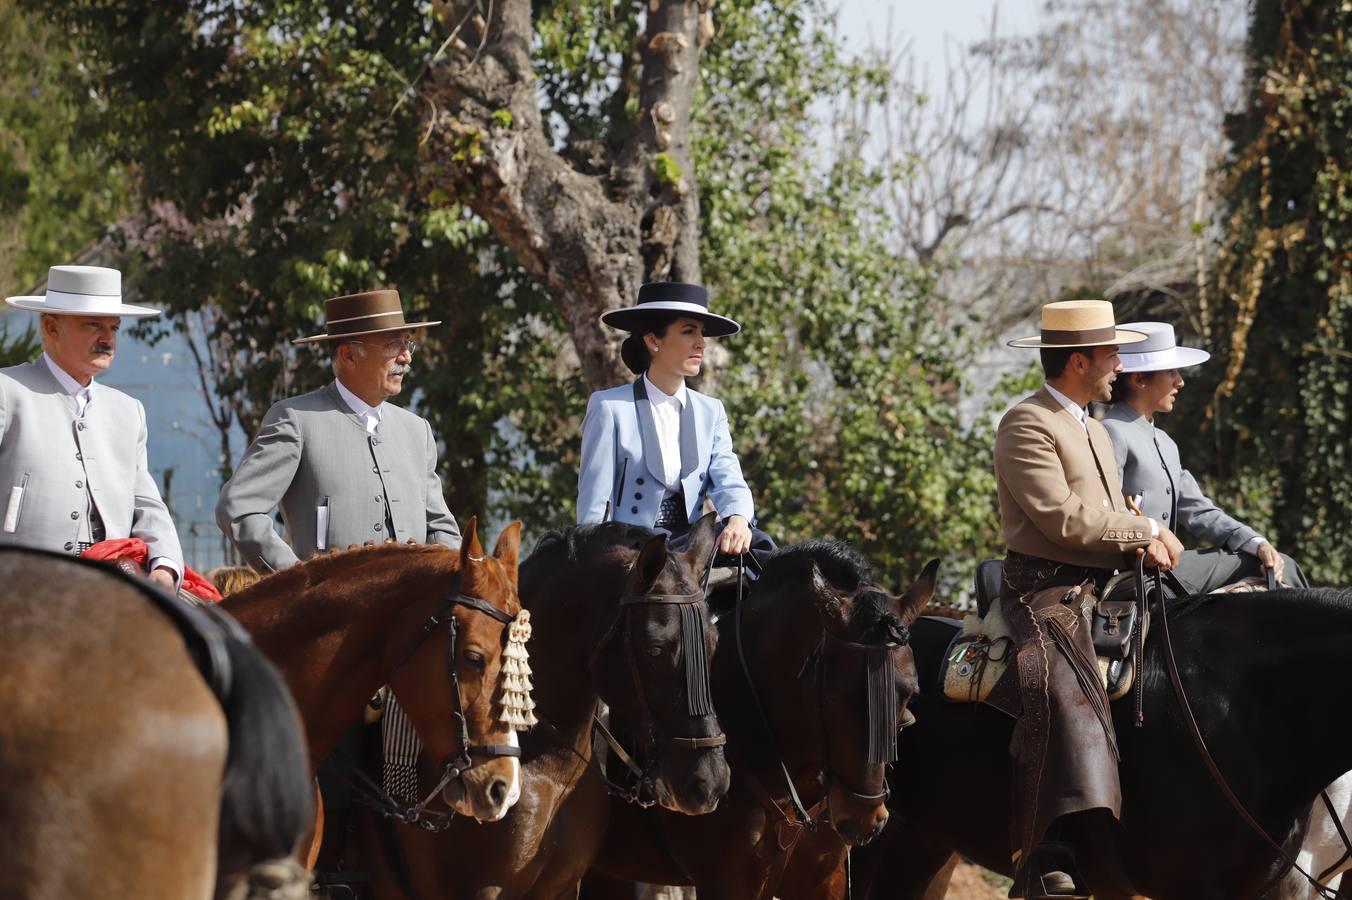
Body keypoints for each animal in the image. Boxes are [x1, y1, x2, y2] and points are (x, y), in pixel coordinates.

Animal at [348, 510, 730, 897]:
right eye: (655, 648)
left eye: (714, 643)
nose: (709, 782)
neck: (549, 768)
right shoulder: (482, 890)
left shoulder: (564, 886)